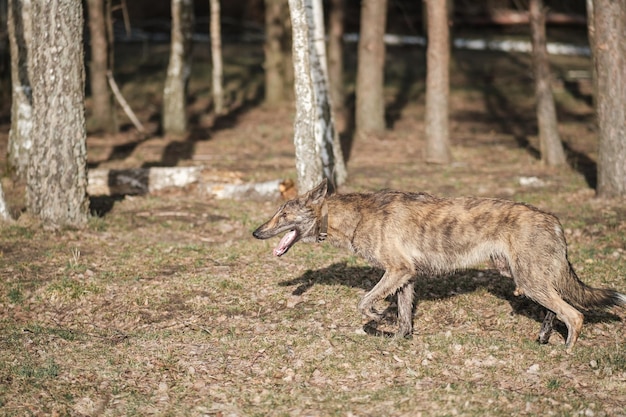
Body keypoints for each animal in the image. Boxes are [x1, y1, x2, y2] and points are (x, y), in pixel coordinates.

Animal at [251, 180, 620, 352]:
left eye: (283, 214)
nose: (255, 233)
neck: (353, 216)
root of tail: (553, 219)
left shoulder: (397, 272)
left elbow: (365, 303)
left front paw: (378, 319)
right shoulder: (406, 278)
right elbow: (403, 317)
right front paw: (397, 338)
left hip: (529, 281)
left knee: (574, 314)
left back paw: (566, 351)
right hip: (525, 278)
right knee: (554, 309)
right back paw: (544, 338)